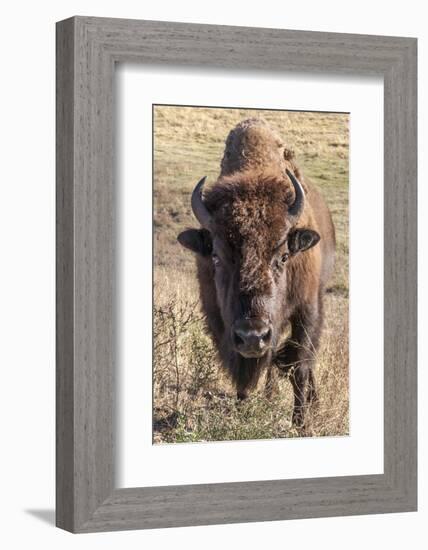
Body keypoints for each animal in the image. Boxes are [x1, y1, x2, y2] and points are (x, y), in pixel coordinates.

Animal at [176, 118, 334, 426]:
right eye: (216, 256)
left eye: (284, 256)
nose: (252, 335)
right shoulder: (219, 320)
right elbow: (242, 373)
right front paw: (243, 410)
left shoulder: (307, 309)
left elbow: (300, 366)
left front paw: (301, 423)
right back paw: (270, 396)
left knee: (305, 364)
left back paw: (313, 403)